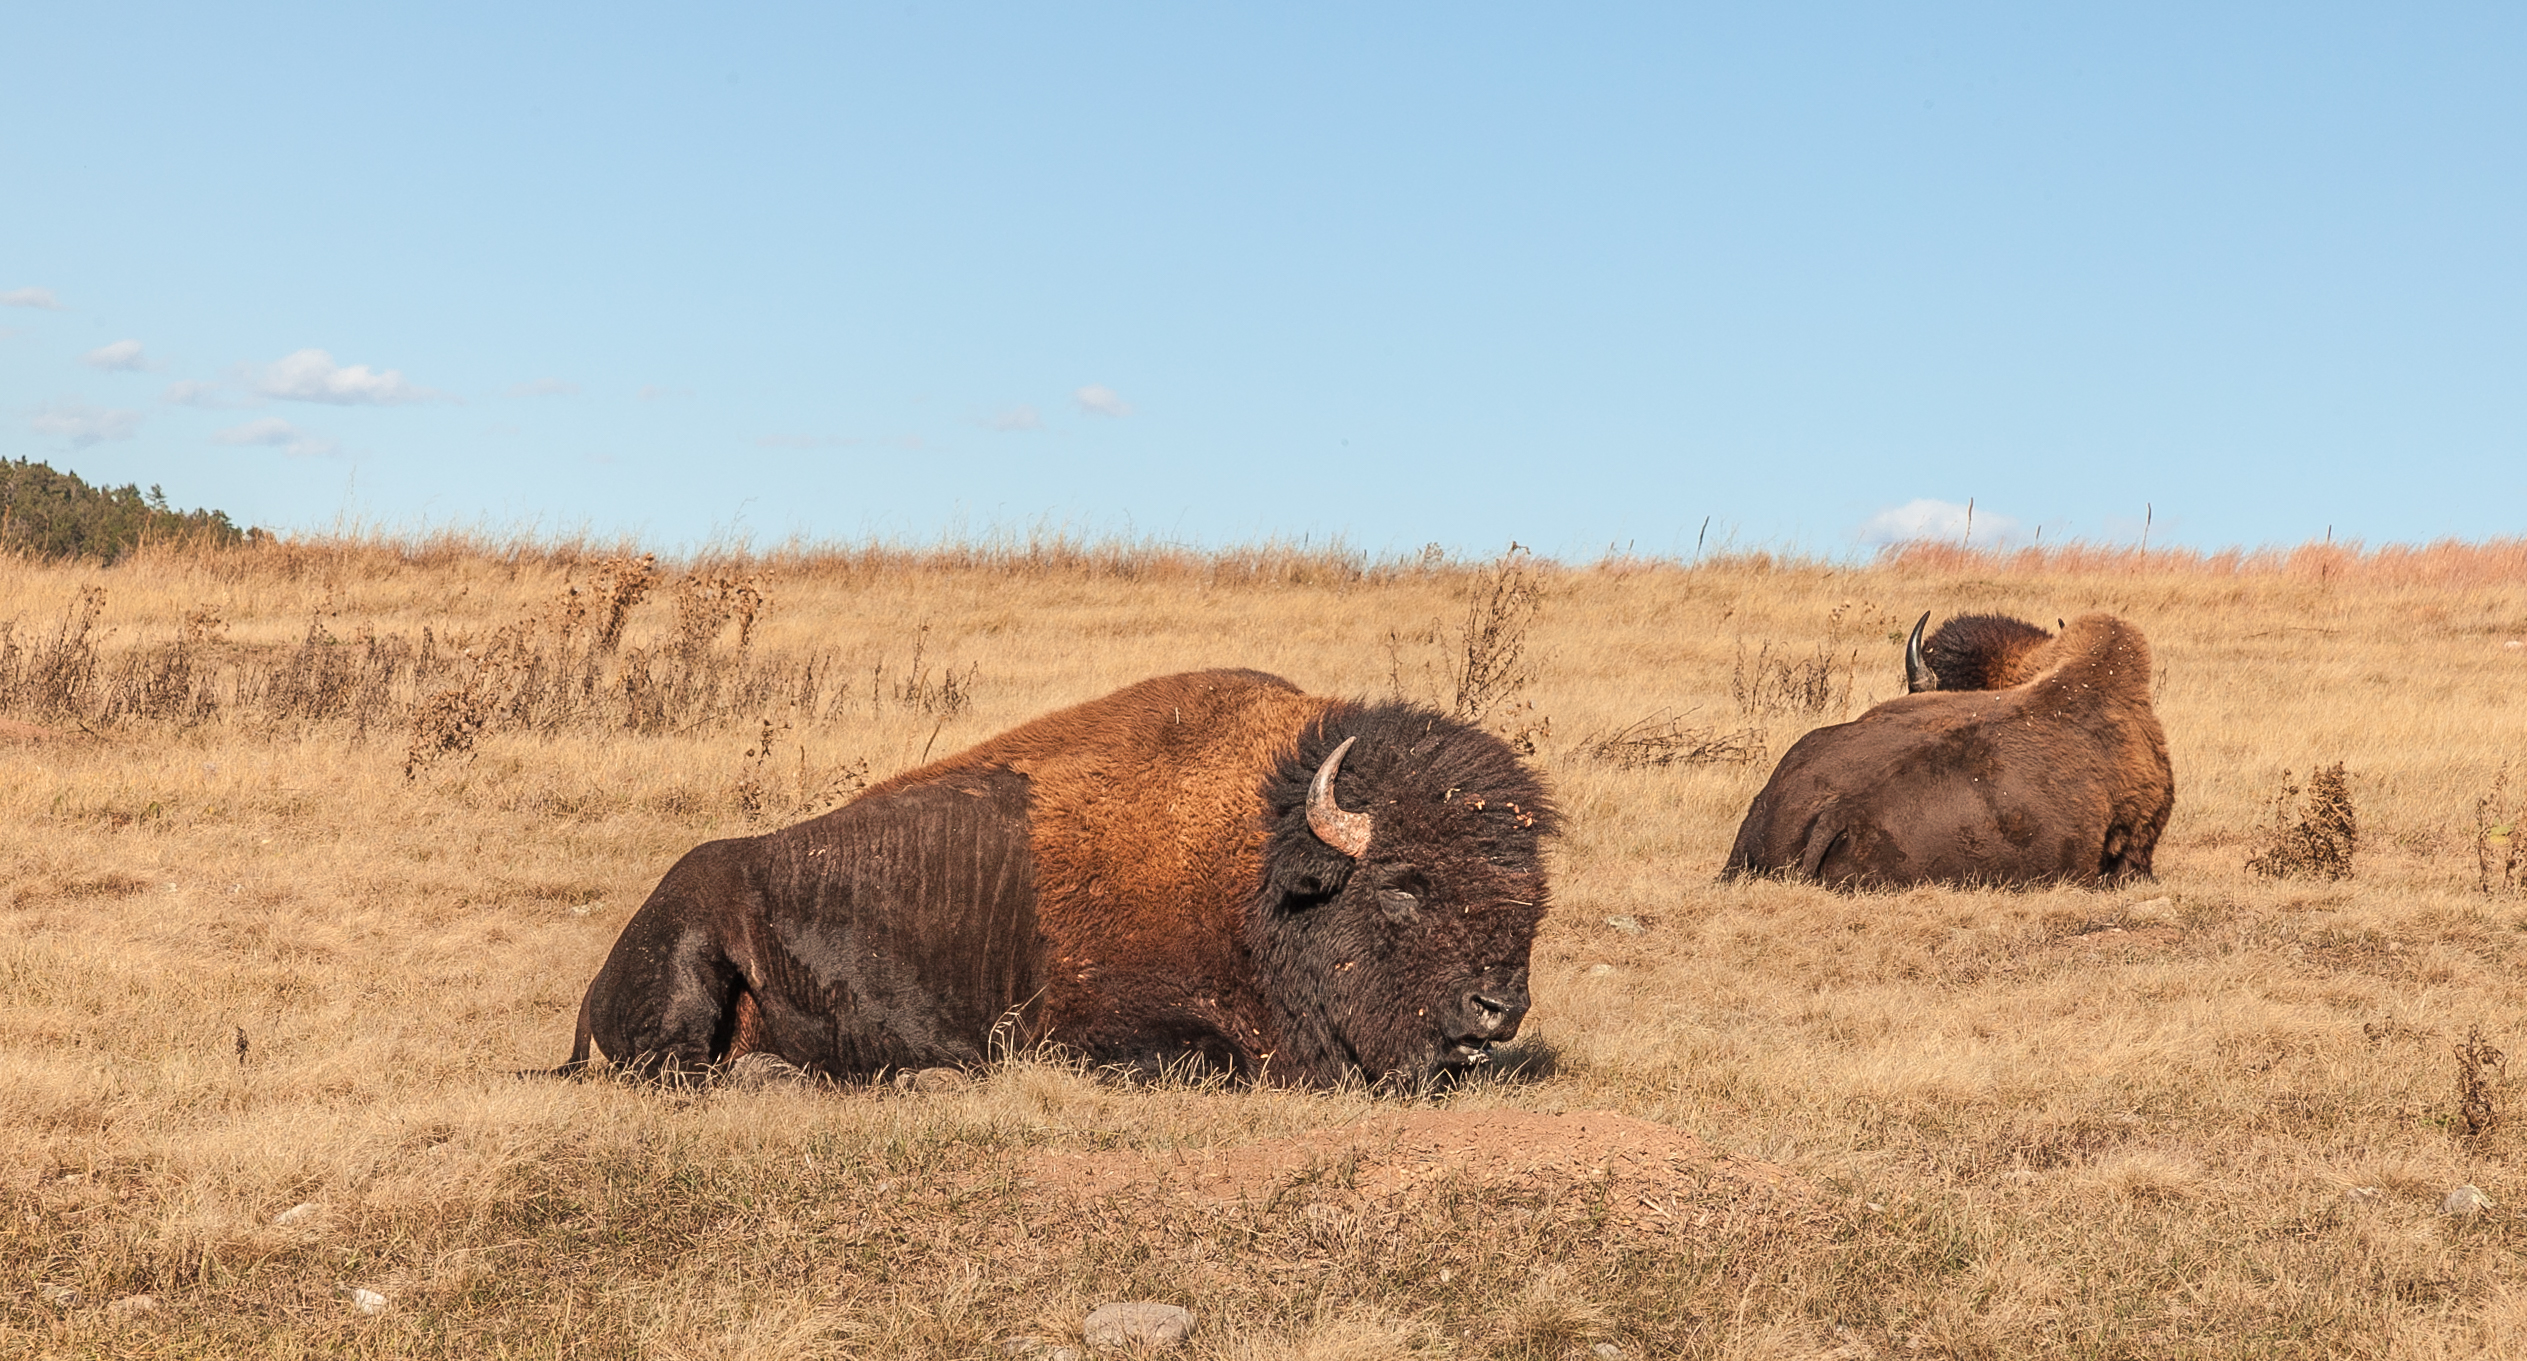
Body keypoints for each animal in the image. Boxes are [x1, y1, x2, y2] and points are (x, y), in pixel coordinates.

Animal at [553, 666, 1556, 1090]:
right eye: (1403, 883)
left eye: (1533, 897)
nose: (1498, 1007)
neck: (1263, 869)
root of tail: (600, 971)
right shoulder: (1098, 1029)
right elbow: (1208, 1062)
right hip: (693, 959)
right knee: (681, 1069)